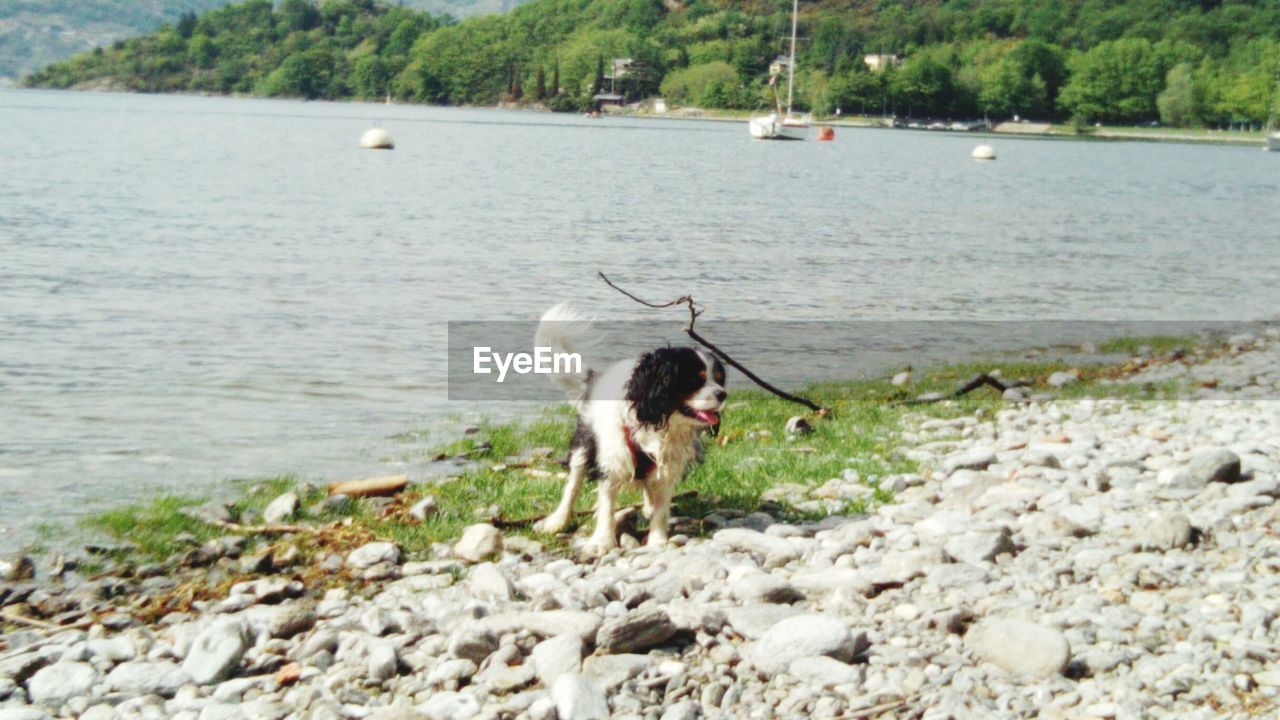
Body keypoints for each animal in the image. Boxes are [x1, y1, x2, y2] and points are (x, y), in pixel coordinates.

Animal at [532, 299, 732, 550]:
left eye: (719, 380)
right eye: (696, 380)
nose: (722, 394)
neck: (659, 421)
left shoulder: (669, 463)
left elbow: (662, 505)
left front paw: (658, 541)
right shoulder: (612, 460)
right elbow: (606, 503)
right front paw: (602, 541)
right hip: (584, 442)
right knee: (573, 483)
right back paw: (558, 520)